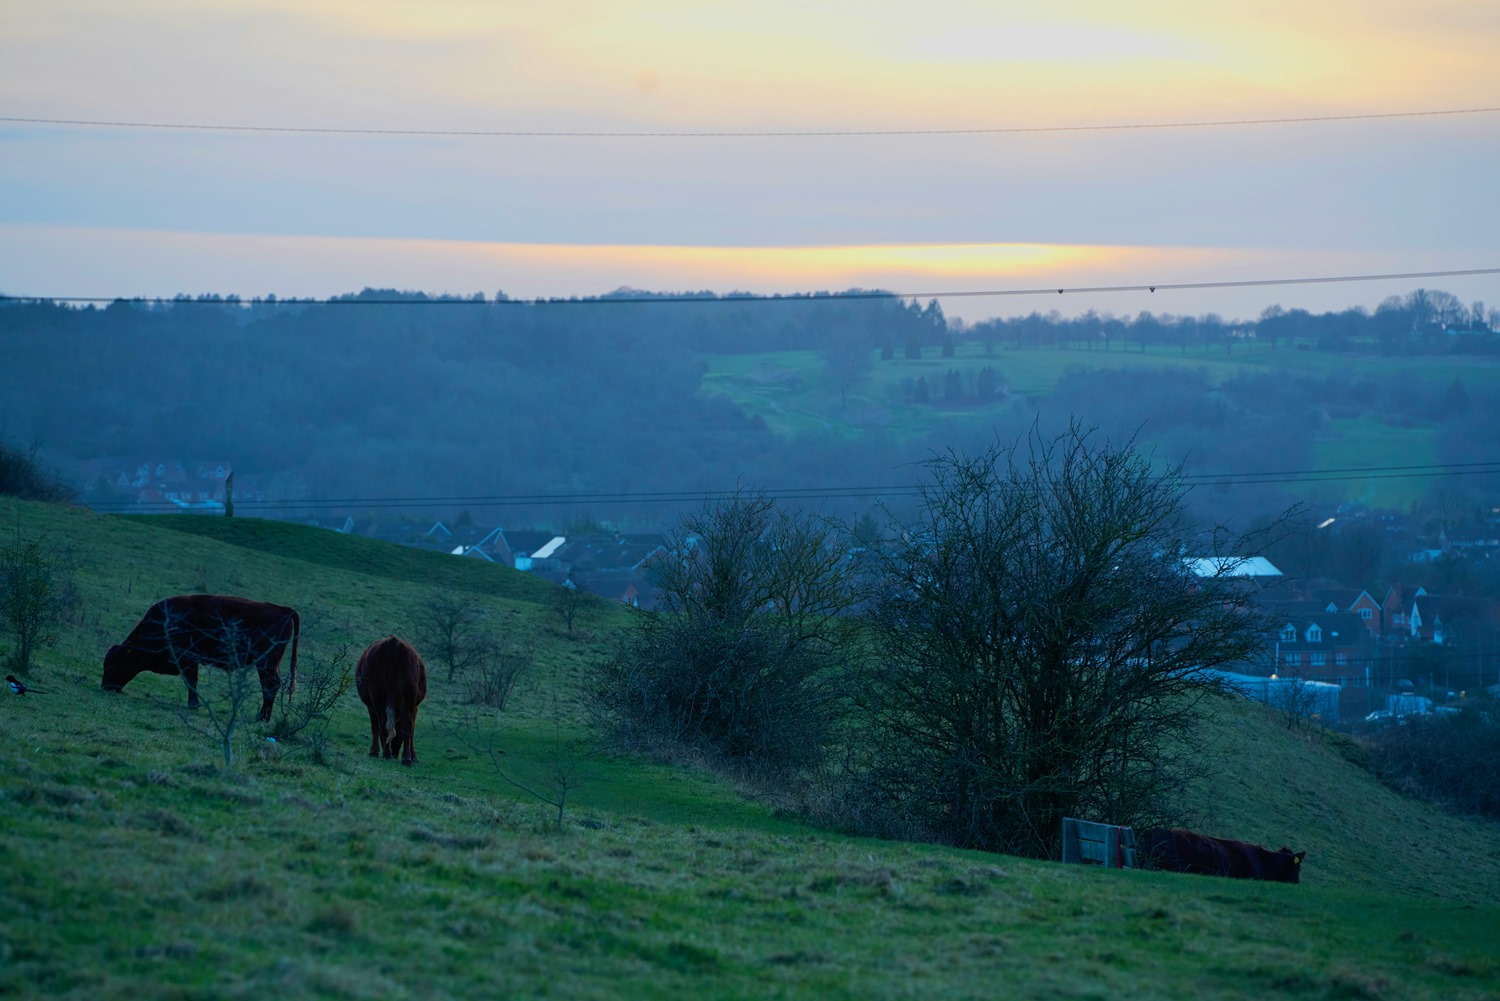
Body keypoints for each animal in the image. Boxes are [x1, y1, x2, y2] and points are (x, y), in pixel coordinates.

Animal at [102, 591, 298, 723]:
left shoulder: (188, 661)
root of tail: (284, 610)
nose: (105, 687)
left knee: (270, 685)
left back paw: (261, 718)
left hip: (265, 663)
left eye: (110, 665)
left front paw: (192, 705)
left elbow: (191, 681)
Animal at [349, 633, 423, 768]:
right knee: (405, 726)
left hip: (378, 696)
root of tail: (393, 642)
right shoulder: (415, 707)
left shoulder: (371, 706)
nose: (395, 754)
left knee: (383, 723)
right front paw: (414, 756)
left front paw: (374, 751)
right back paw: (403, 757)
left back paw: (388, 754)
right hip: (404, 700)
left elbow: (375, 727)